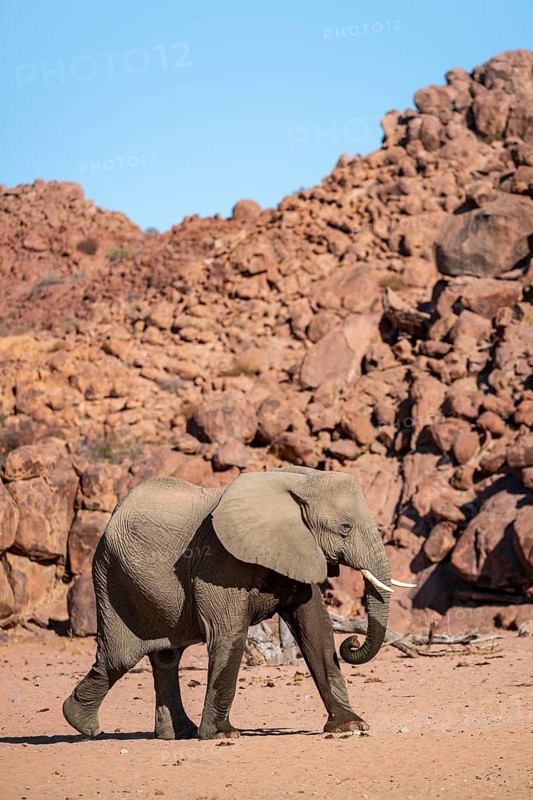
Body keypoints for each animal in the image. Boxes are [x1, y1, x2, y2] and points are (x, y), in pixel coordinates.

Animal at [63, 466, 413, 740]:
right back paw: (81, 724)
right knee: (119, 657)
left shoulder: (300, 549)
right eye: (345, 527)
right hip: (112, 577)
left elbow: (316, 628)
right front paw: (222, 735)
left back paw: (176, 733)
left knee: (166, 657)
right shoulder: (217, 561)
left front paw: (350, 727)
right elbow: (229, 632)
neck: (294, 483)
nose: (351, 643)